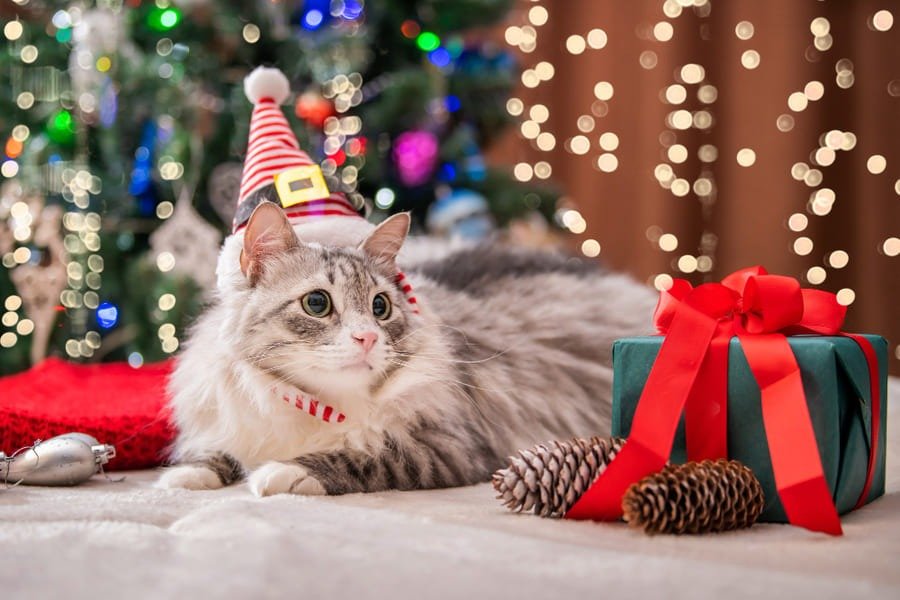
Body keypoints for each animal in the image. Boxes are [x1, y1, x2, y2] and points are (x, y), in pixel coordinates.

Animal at [156, 204, 652, 494]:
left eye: (381, 306)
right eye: (317, 303)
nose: (368, 338)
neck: (316, 404)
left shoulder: (449, 447)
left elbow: (365, 456)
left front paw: (285, 472)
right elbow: (214, 451)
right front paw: (182, 477)